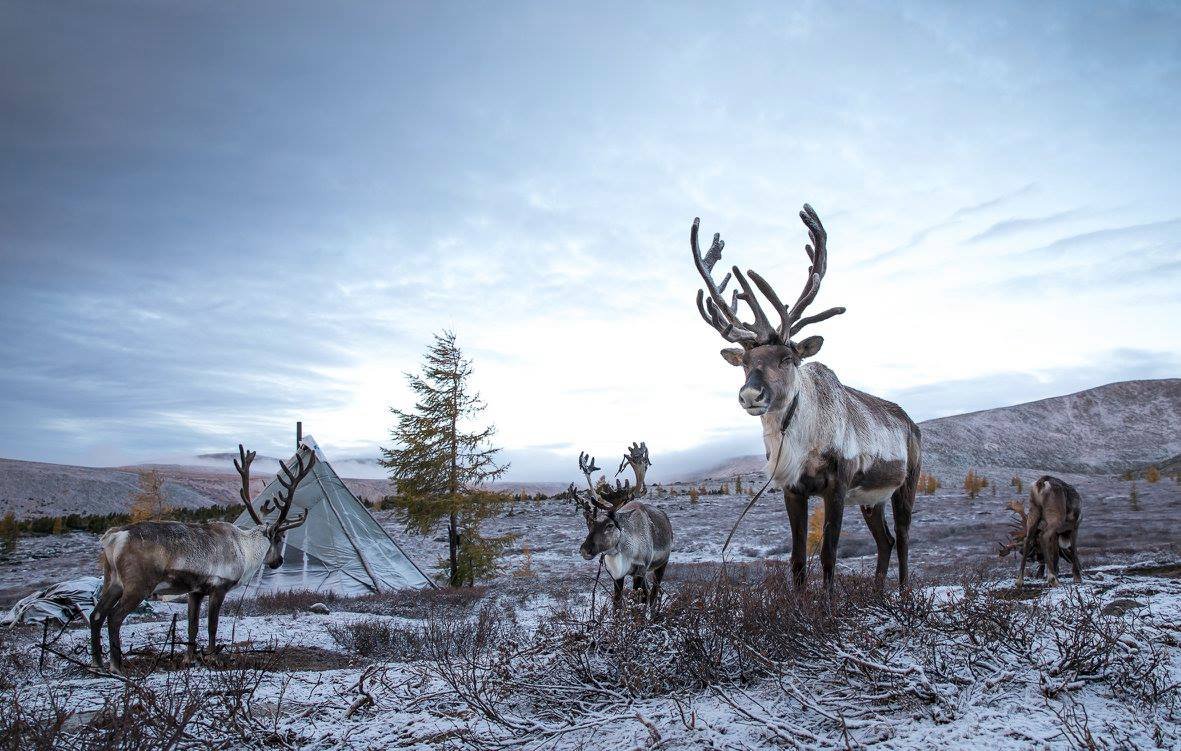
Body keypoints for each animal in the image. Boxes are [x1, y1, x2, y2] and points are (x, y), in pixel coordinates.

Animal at [89, 444, 315, 675]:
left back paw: (97, 663)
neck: (246, 550)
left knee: (96, 615)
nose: (279, 561)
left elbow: (193, 625)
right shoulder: (219, 587)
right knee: (114, 617)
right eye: (279, 538)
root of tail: (113, 537)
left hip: (113, 581)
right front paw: (214, 658)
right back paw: (116, 666)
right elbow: (211, 626)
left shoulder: (195, 591)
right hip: (138, 586)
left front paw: (190, 659)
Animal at [571, 442, 672, 610]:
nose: (584, 550)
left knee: (653, 593)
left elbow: (639, 603)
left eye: (610, 525)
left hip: (662, 564)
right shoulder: (617, 575)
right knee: (649, 592)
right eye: (589, 523)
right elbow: (617, 604)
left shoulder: (640, 570)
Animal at [690, 204, 921, 593]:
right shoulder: (792, 489)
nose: (750, 394)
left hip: (907, 482)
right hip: (871, 499)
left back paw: (903, 593)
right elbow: (797, 560)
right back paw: (878, 593)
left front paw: (826, 603)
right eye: (746, 363)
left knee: (903, 537)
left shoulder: (837, 486)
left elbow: (828, 554)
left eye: (787, 358)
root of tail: (910, 422)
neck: (800, 440)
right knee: (885, 540)